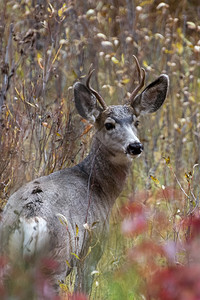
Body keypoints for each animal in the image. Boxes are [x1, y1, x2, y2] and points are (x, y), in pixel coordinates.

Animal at [0, 56, 169, 292]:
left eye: (136, 122)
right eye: (109, 124)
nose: (135, 146)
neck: (98, 187)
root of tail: (29, 219)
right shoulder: (92, 246)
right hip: (56, 261)